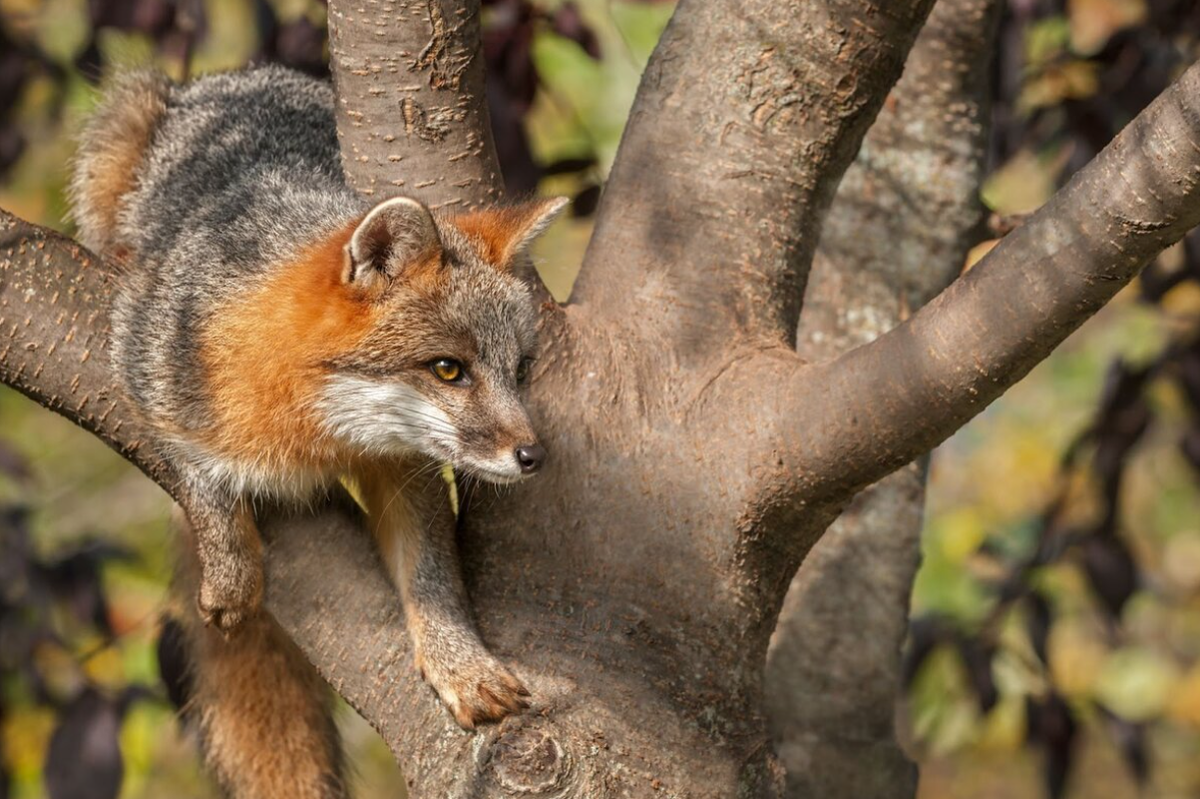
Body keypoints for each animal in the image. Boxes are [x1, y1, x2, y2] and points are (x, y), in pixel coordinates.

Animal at [69, 63, 561, 796]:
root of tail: (241, 74)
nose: (533, 454)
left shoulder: (405, 471)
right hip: (117, 128)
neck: (314, 430)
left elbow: (434, 577)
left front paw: (459, 662)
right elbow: (198, 478)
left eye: (519, 368)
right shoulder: (136, 357)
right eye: (448, 369)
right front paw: (232, 571)